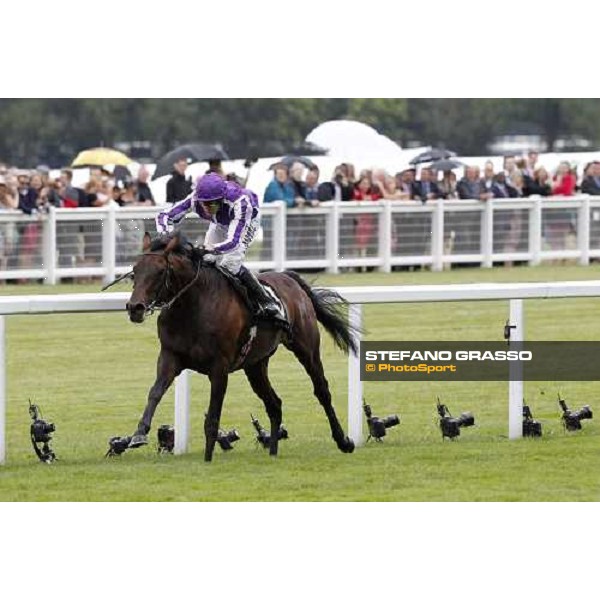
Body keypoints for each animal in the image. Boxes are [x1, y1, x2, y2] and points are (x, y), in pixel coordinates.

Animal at [122, 232, 356, 462]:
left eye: (160, 271)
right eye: (135, 271)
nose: (135, 308)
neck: (193, 307)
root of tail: (289, 277)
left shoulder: (219, 368)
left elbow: (213, 416)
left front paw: (208, 459)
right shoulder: (170, 357)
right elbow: (155, 392)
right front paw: (139, 434)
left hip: (307, 348)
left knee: (322, 391)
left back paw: (343, 441)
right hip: (255, 364)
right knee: (274, 404)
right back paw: (273, 451)